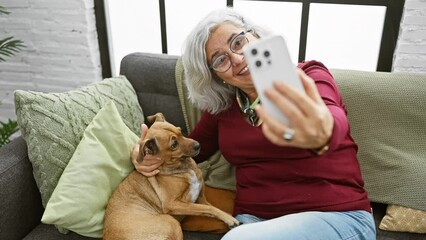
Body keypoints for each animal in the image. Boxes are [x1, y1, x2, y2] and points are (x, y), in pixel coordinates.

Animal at [102, 114, 238, 240]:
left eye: (180, 131)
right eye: (174, 144)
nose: (198, 145)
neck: (183, 167)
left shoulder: (201, 199)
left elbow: (211, 208)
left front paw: (227, 218)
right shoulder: (173, 204)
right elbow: (208, 209)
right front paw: (231, 219)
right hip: (172, 222)